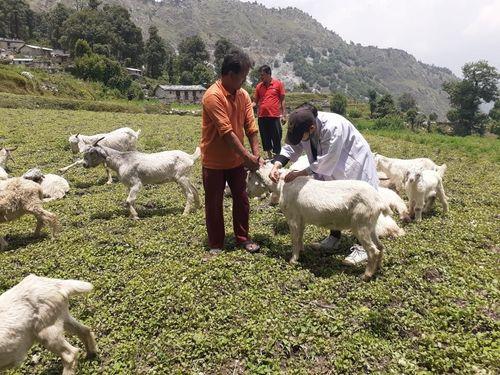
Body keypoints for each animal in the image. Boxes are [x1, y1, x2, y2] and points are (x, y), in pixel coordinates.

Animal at [247, 163, 390, 280]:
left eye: (249, 177)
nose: (247, 192)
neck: (281, 185)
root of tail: (379, 202)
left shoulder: (293, 217)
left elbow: (294, 238)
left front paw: (293, 260)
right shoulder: (301, 218)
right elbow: (300, 236)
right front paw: (302, 251)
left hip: (361, 224)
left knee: (373, 250)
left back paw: (365, 275)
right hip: (370, 224)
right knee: (380, 246)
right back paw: (377, 268)